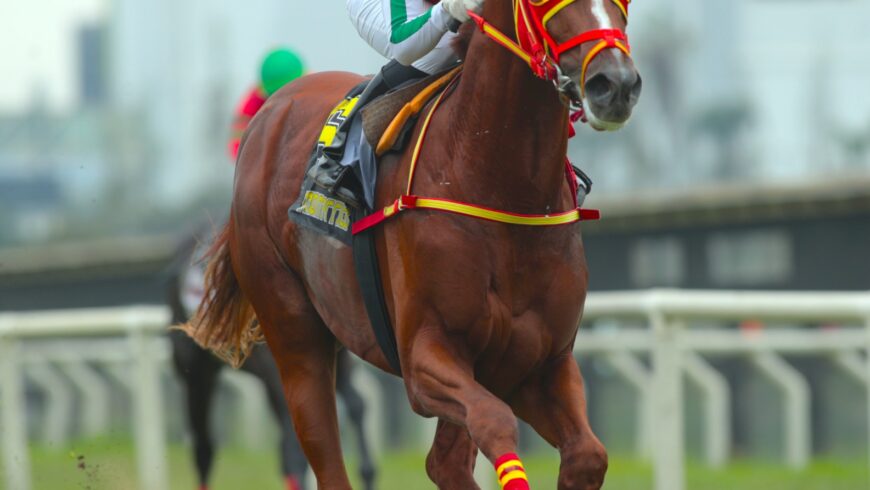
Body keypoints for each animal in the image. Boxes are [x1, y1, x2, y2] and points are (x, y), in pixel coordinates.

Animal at [187, 0, 644, 486]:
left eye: (626, 3)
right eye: (538, 3)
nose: (615, 84)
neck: (500, 186)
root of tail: (268, 114)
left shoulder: (540, 364)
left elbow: (587, 454)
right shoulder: (425, 357)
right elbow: (494, 421)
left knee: (444, 463)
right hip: (293, 333)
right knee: (323, 446)